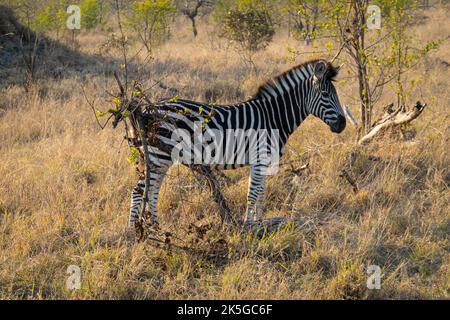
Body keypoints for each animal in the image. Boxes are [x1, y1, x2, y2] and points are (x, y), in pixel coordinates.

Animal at [126, 58, 344, 228]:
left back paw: (155, 227)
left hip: (160, 157)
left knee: (152, 190)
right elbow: (253, 193)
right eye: (326, 95)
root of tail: (147, 109)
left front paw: (259, 223)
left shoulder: (263, 161)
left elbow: (261, 193)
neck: (272, 117)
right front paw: (249, 226)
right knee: (139, 190)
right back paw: (133, 233)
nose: (342, 124)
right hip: (158, 155)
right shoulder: (259, 157)